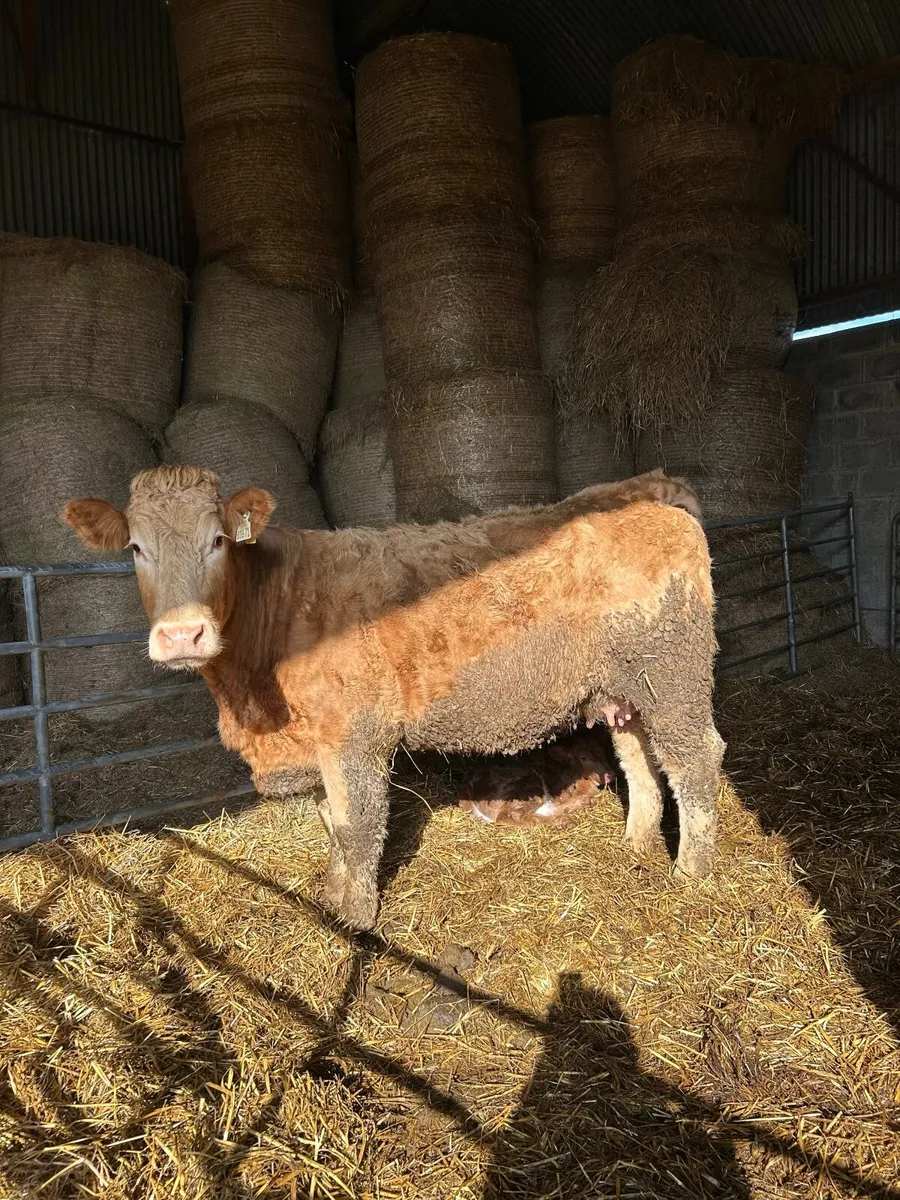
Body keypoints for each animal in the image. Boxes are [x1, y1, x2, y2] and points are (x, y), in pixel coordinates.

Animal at [63, 466, 724, 931]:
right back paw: (637, 841)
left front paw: (355, 920)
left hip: (675, 674)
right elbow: (332, 824)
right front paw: (334, 897)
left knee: (695, 760)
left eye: (219, 540)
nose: (182, 635)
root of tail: (649, 491)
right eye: (135, 548)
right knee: (640, 756)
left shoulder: (355, 735)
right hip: (625, 687)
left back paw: (690, 874)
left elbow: (357, 826)